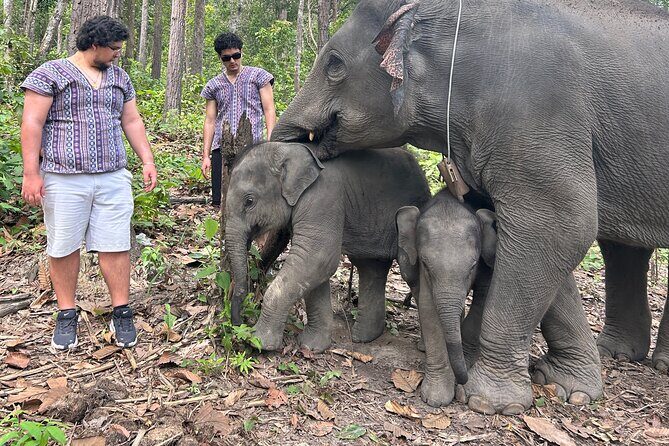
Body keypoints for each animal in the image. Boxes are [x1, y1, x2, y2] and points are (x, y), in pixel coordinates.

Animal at [224, 142, 431, 352]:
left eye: (249, 201)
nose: (239, 323)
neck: (290, 148)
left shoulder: (323, 198)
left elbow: (318, 258)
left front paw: (257, 342)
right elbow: (315, 269)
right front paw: (311, 346)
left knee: (408, 273)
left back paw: (422, 347)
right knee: (371, 268)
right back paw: (363, 338)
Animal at [395, 189, 497, 406]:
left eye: (473, 265)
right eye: (426, 264)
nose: (462, 382)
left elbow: (483, 297)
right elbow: (428, 308)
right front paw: (437, 399)